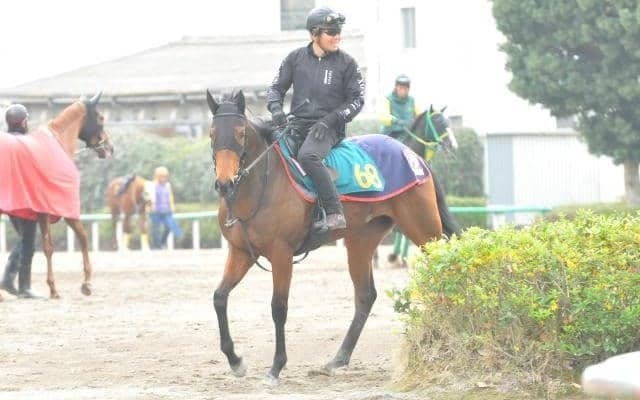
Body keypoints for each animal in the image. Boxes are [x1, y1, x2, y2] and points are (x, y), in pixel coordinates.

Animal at [0, 92, 113, 299]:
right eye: (101, 118)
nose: (109, 148)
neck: (57, 143)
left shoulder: (39, 213)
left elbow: (43, 246)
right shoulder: (64, 210)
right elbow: (80, 238)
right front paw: (84, 284)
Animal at [205, 89, 461, 385]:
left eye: (240, 133)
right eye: (212, 133)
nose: (225, 183)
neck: (260, 186)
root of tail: (413, 157)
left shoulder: (281, 254)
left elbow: (278, 308)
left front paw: (276, 366)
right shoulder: (241, 251)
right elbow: (219, 297)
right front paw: (235, 360)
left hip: (424, 229)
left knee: (446, 269)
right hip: (361, 240)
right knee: (365, 296)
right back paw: (338, 359)